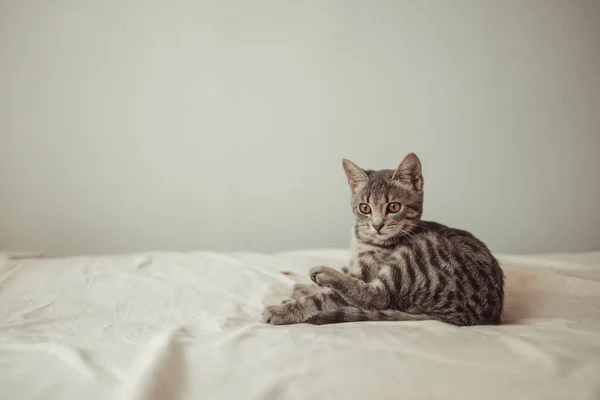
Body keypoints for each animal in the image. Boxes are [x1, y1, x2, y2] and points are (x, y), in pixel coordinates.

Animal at [262, 153, 502, 324]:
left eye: (394, 207)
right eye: (364, 208)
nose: (377, 225)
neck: (364, 239)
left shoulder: (369, 271)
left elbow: (329, 296)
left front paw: (286, 308)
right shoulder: (357, 266)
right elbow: (345, 274)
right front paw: (303, 288)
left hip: (417, 257)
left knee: (379, 296)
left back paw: (323, 275)